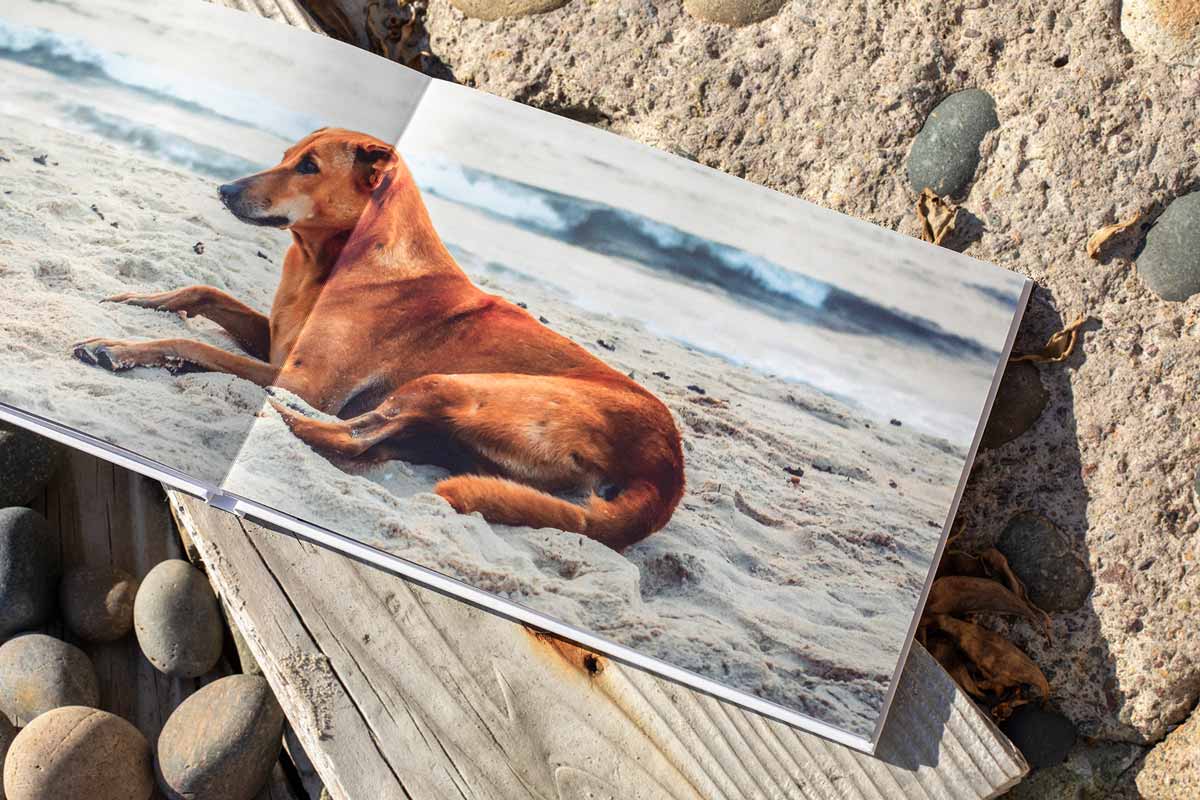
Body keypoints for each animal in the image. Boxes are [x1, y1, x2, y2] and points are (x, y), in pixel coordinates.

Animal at [77, 128, 686, 551]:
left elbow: (199, 346)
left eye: (309, 166)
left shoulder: (303, 378)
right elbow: (202, 290)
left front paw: (123, 349)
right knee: (378, 441)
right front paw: (136, 301)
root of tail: (667, 468)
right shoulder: (275, 343)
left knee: (349, 435)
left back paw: (281, 417)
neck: (332, 260)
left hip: (453, 384)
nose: (224, 189)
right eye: (287, 154)